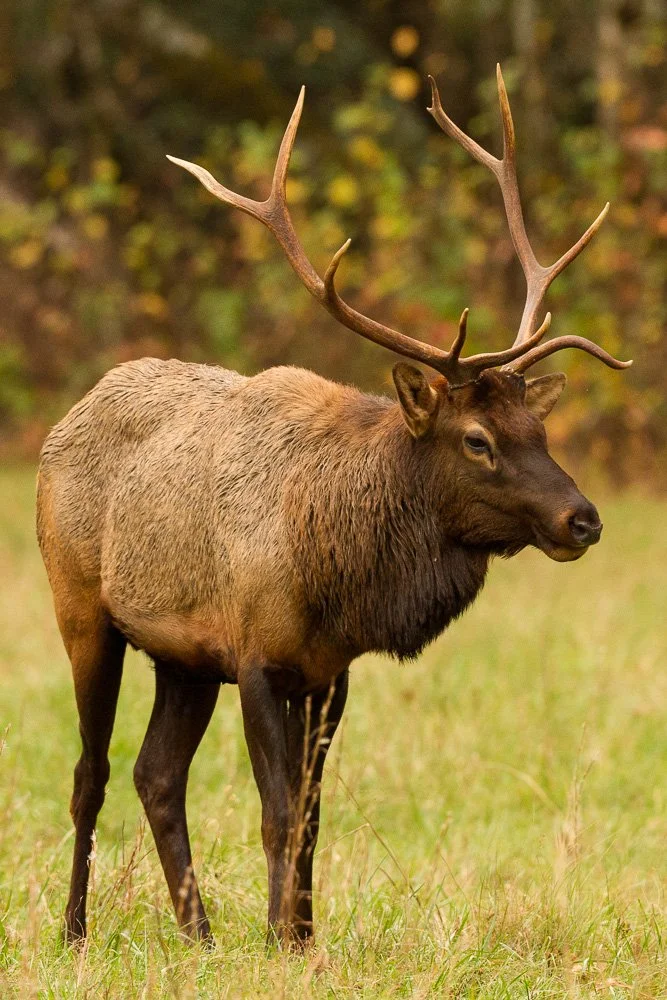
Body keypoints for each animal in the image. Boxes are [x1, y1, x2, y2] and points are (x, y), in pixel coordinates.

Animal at [36, 66, 630, 949]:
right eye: (477, 439)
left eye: (539, 428)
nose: (581, 519)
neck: (337, 572)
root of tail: (68, 414)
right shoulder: (255, 654)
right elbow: (277, 813)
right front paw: (281, 943)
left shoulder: (327, 673)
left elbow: (312, 819)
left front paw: (302, 935)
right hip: (81, 607)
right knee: (91, 771)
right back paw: (75, 930)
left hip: (180, 656)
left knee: (156, 774)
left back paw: (199, 934)